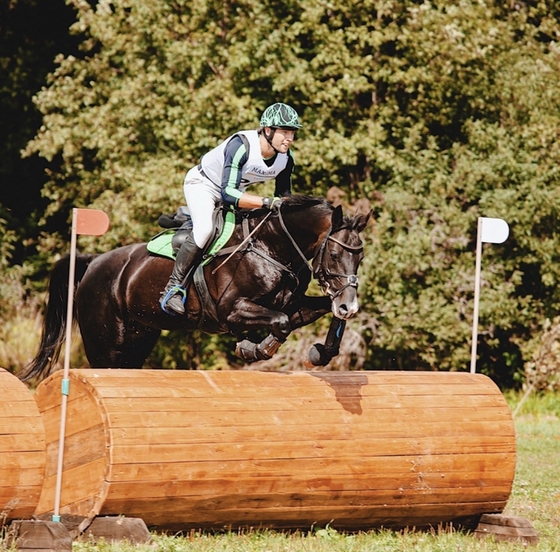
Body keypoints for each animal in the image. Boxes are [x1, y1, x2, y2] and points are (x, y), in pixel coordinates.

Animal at [20, 196, 372, 382]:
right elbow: (281, 323)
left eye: (361, 256)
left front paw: (322, 350)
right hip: (104, 344)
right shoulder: (232, 311)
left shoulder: (292, 305)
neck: (270, 246)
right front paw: (254, 348)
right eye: (335, 254)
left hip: (138, 339)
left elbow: (307, 315)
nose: (350, 304)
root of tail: (94, 262)